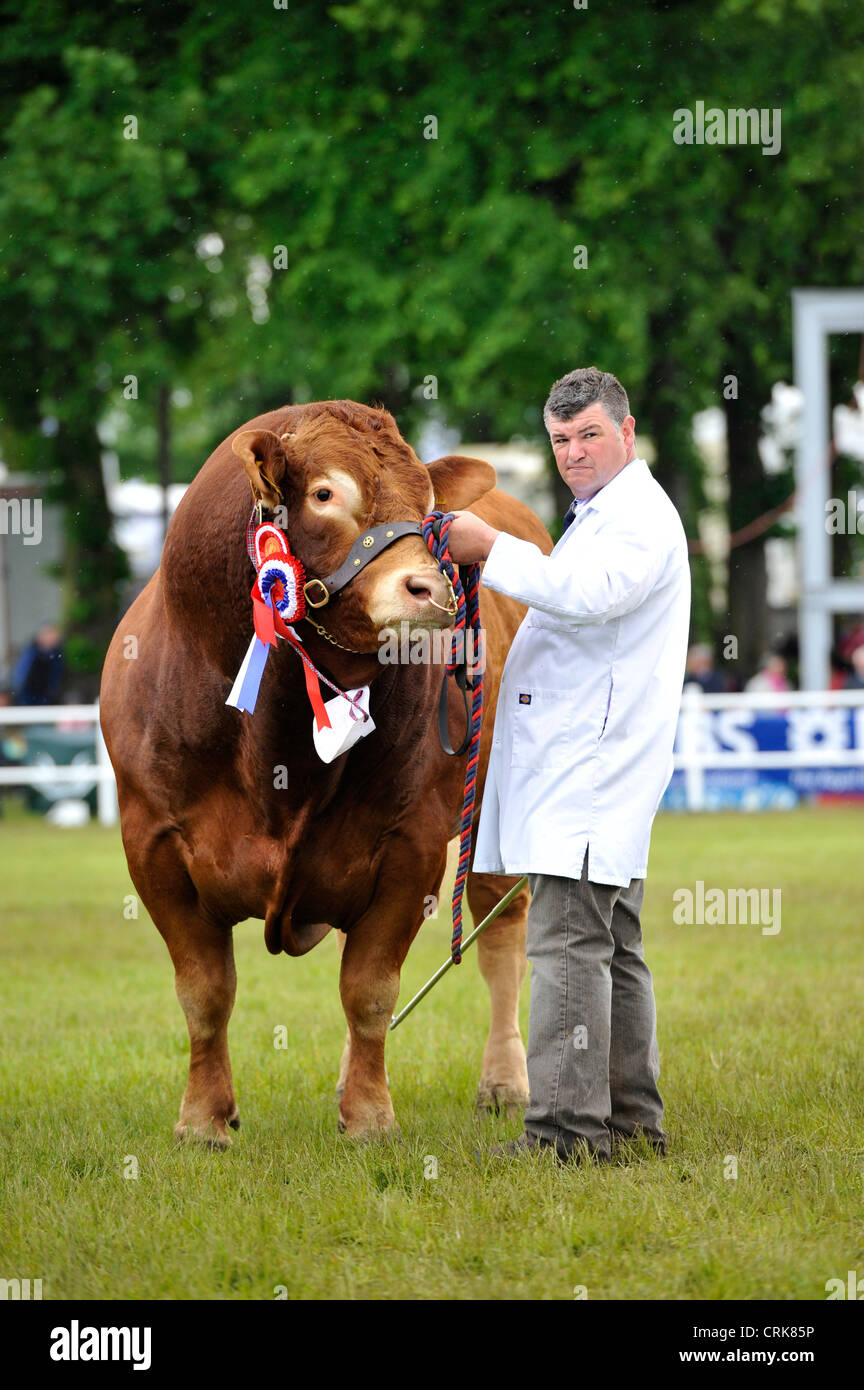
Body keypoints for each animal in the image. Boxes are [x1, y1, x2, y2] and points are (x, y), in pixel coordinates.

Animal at [99, 399, 552, 1145]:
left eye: (428, 507)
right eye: (323, 494)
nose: (430, 590)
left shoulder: (410, 843)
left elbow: (369, 987)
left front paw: (370, 1118)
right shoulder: (152, 840)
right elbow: (205, 991)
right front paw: (203, 1120)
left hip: (492, 810)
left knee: (501, 929)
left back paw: (505, 1081)